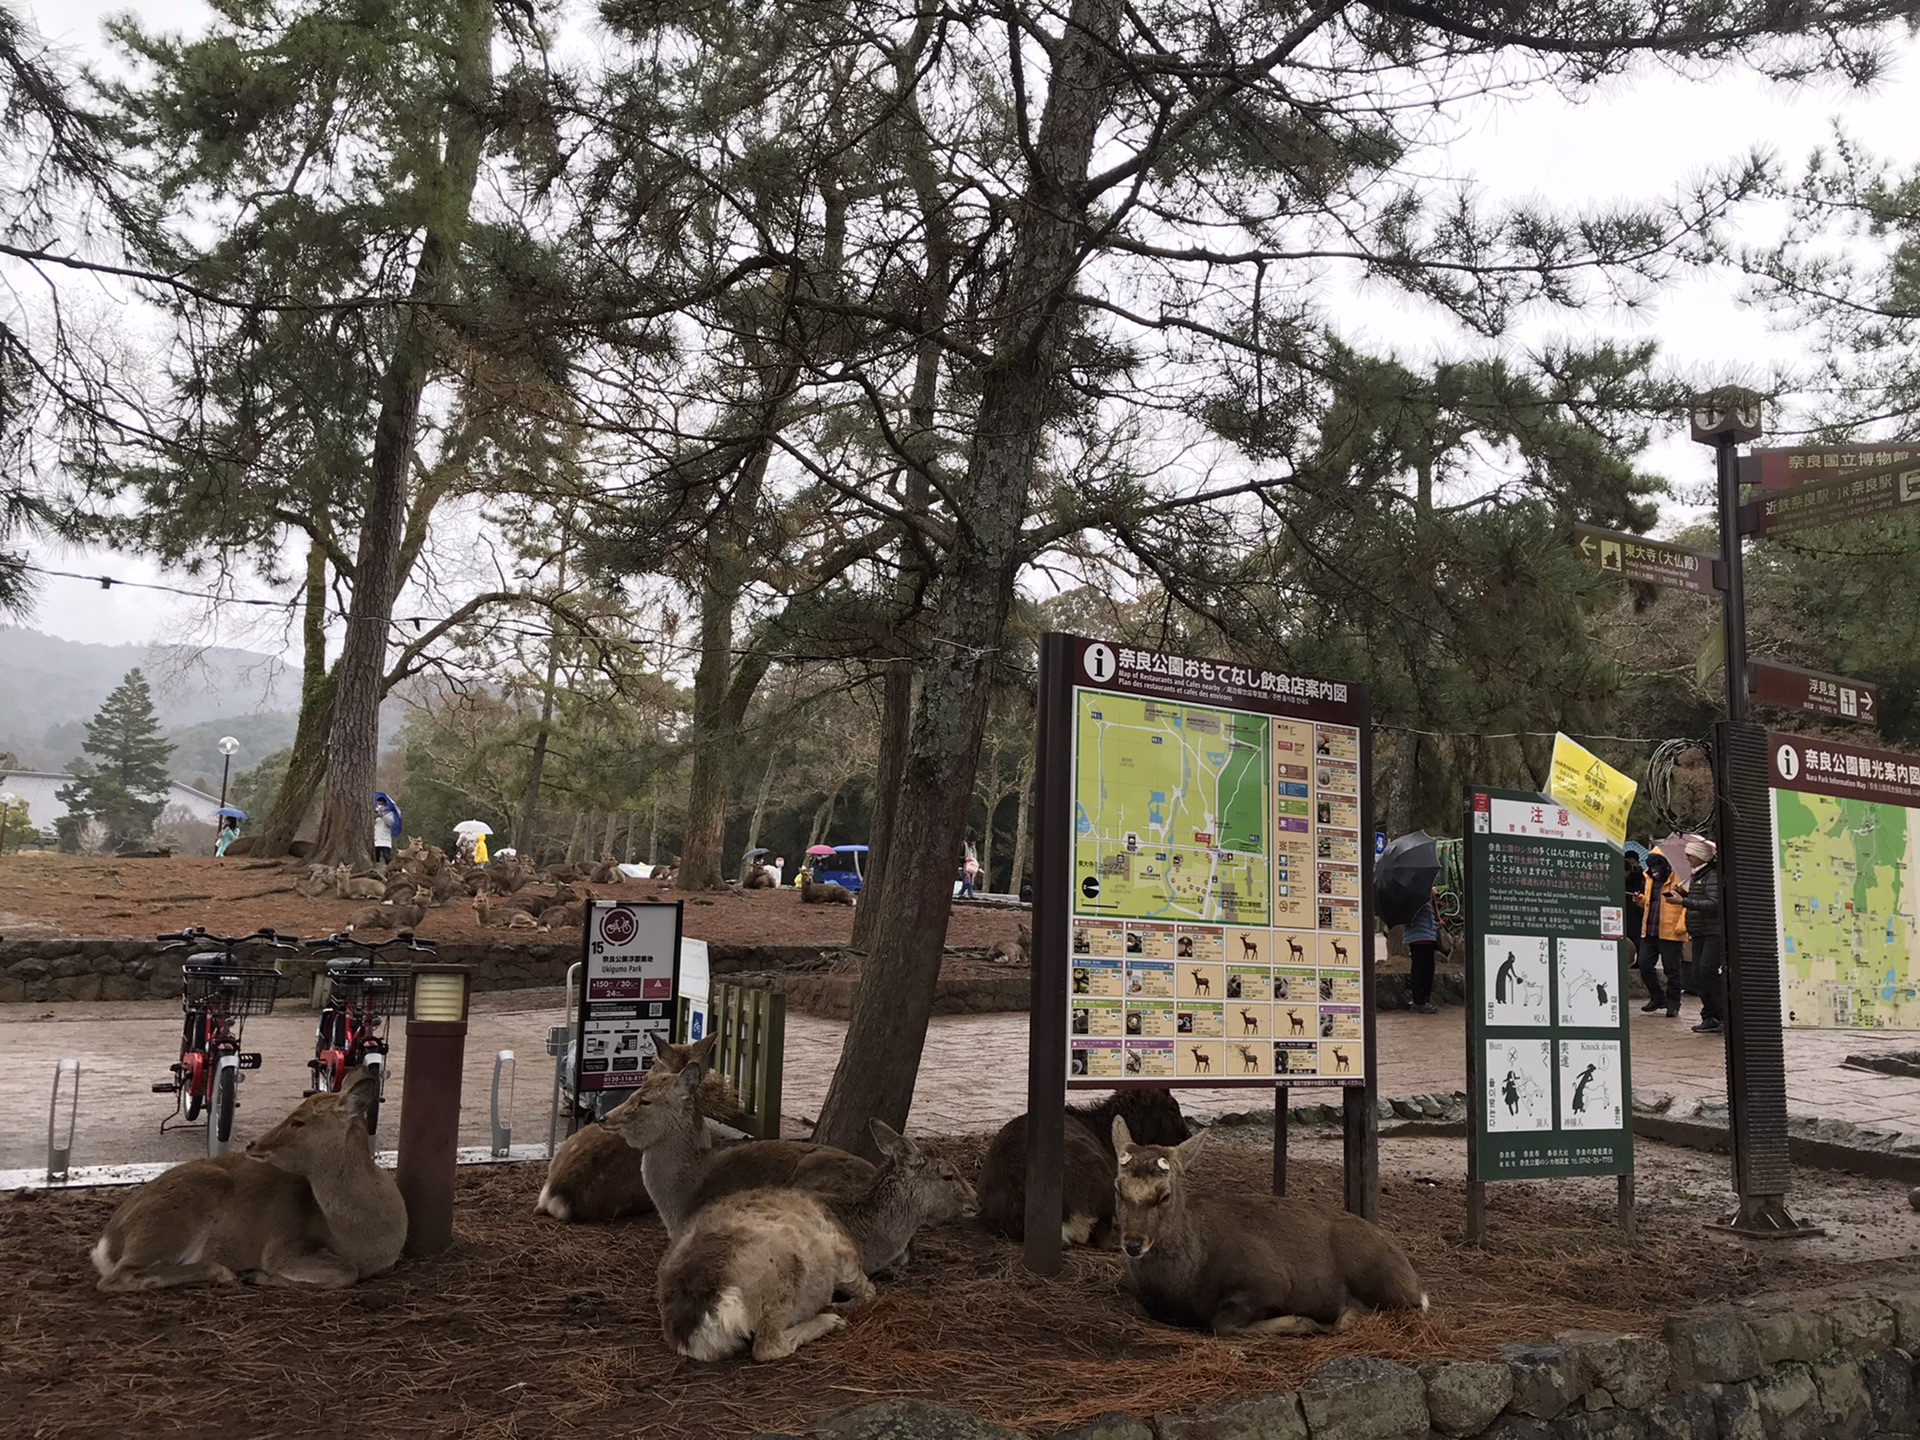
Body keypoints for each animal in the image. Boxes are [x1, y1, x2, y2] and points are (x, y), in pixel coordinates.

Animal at [93, 1075, 405, 1297]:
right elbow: (346, 1272)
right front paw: (258, 1275)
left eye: (299, 1121)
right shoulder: (282, 1245)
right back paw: (223, 1272)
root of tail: (104, 1244)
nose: (253, 1143)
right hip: (172, 1217)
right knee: (118, 1276)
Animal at [660, 1121, 975, 1367]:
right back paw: (829, 1320)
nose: (975, 1201)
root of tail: (695, 1323)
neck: (864, 1235)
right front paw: (840, 1306)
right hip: (783, 1273)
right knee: (768, 1346)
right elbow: (870, 1292)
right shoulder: (848, 1261)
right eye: (948, 1175)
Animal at [1113, 1113, 1428, 1344]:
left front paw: (1303, 1321)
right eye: (1118, 1188)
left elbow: (1222, 1324)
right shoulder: (1143, 1302)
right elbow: (1140, 1307)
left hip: (1378, 1276)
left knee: (1407, 1309)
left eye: (1164, 1195)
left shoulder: (1269, 1280)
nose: (1133, 1243)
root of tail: (1412, 1276)